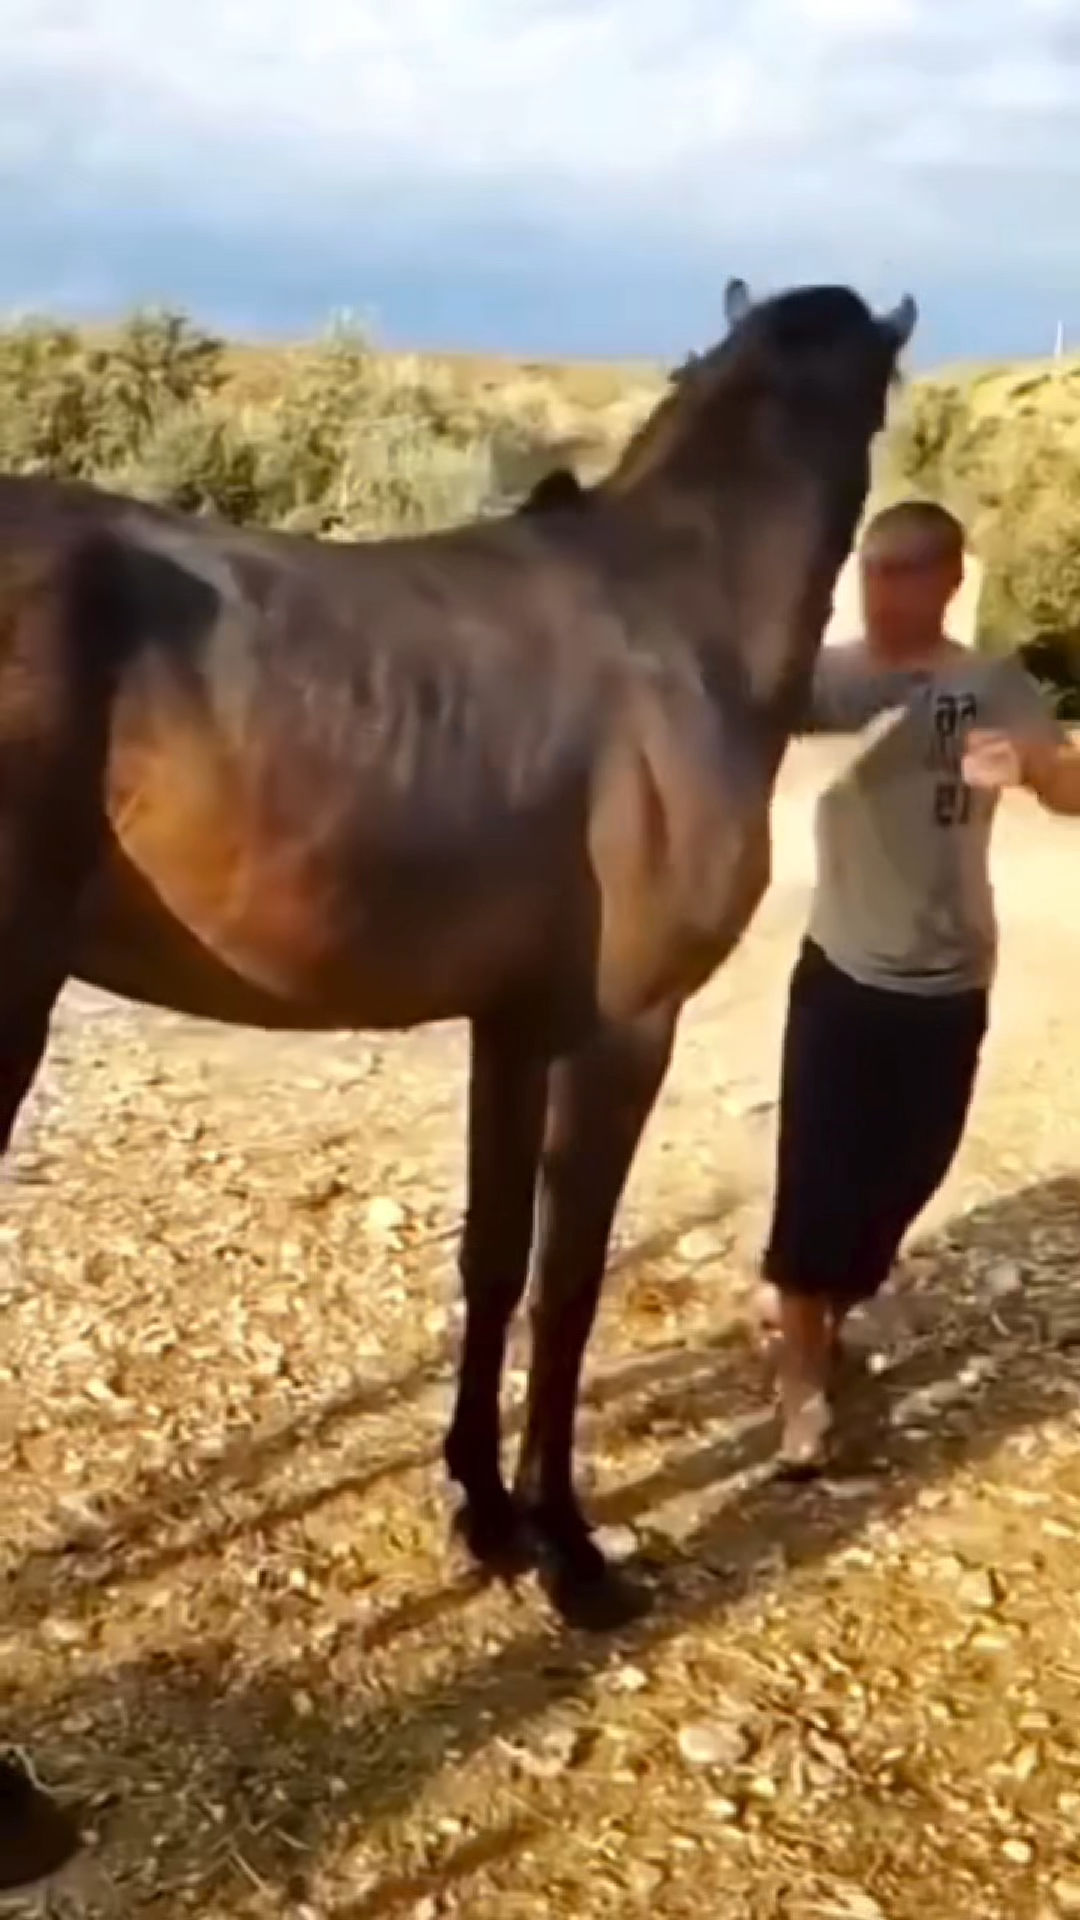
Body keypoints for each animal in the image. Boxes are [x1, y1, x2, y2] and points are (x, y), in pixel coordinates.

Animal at [0, 276, 915, 1629]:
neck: (678, 615)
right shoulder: (620, 1033)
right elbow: (568, 1281)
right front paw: (571, 1552)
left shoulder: (515, 1024)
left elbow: (492, 1260)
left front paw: (485, 1512)